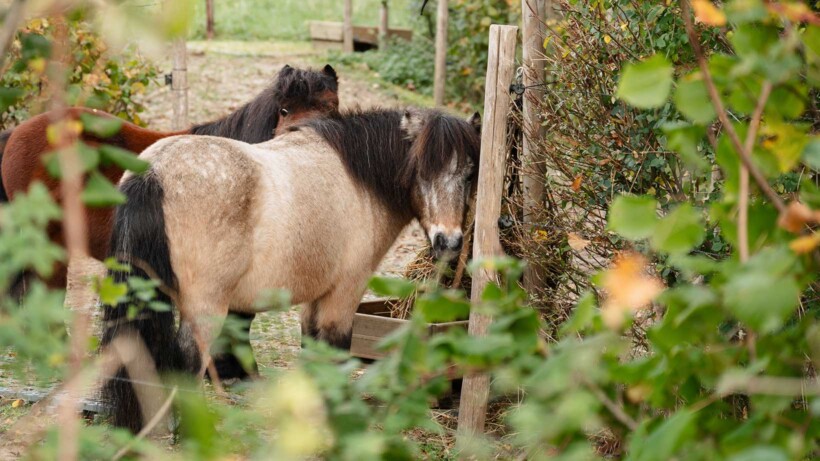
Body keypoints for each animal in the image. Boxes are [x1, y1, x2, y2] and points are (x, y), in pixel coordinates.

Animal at [100, 107, 481, 432]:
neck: (357, 179)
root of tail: (153, 173)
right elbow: (335, 353)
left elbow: (313, 352)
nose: (449, 242)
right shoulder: (343, 295)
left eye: (468, 174)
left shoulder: (315, 300)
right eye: (421, 170)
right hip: (206, 310)